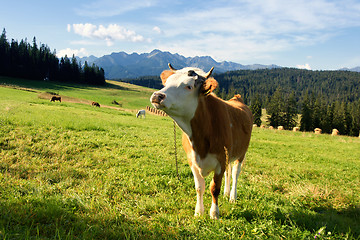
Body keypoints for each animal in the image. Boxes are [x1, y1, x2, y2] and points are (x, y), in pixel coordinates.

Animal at [150, 63, 253, 219]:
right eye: (166, 83)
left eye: (189, 86)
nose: (157, 96)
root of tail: (237, 99)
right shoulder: (192, 160)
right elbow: (199, 187)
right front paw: (199, 212)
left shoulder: (221, 160)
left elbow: (214, 188)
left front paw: (214, 213)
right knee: (229, 173)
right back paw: (227, 193)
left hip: (241, 153)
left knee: (235, 173)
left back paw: (232, 197)